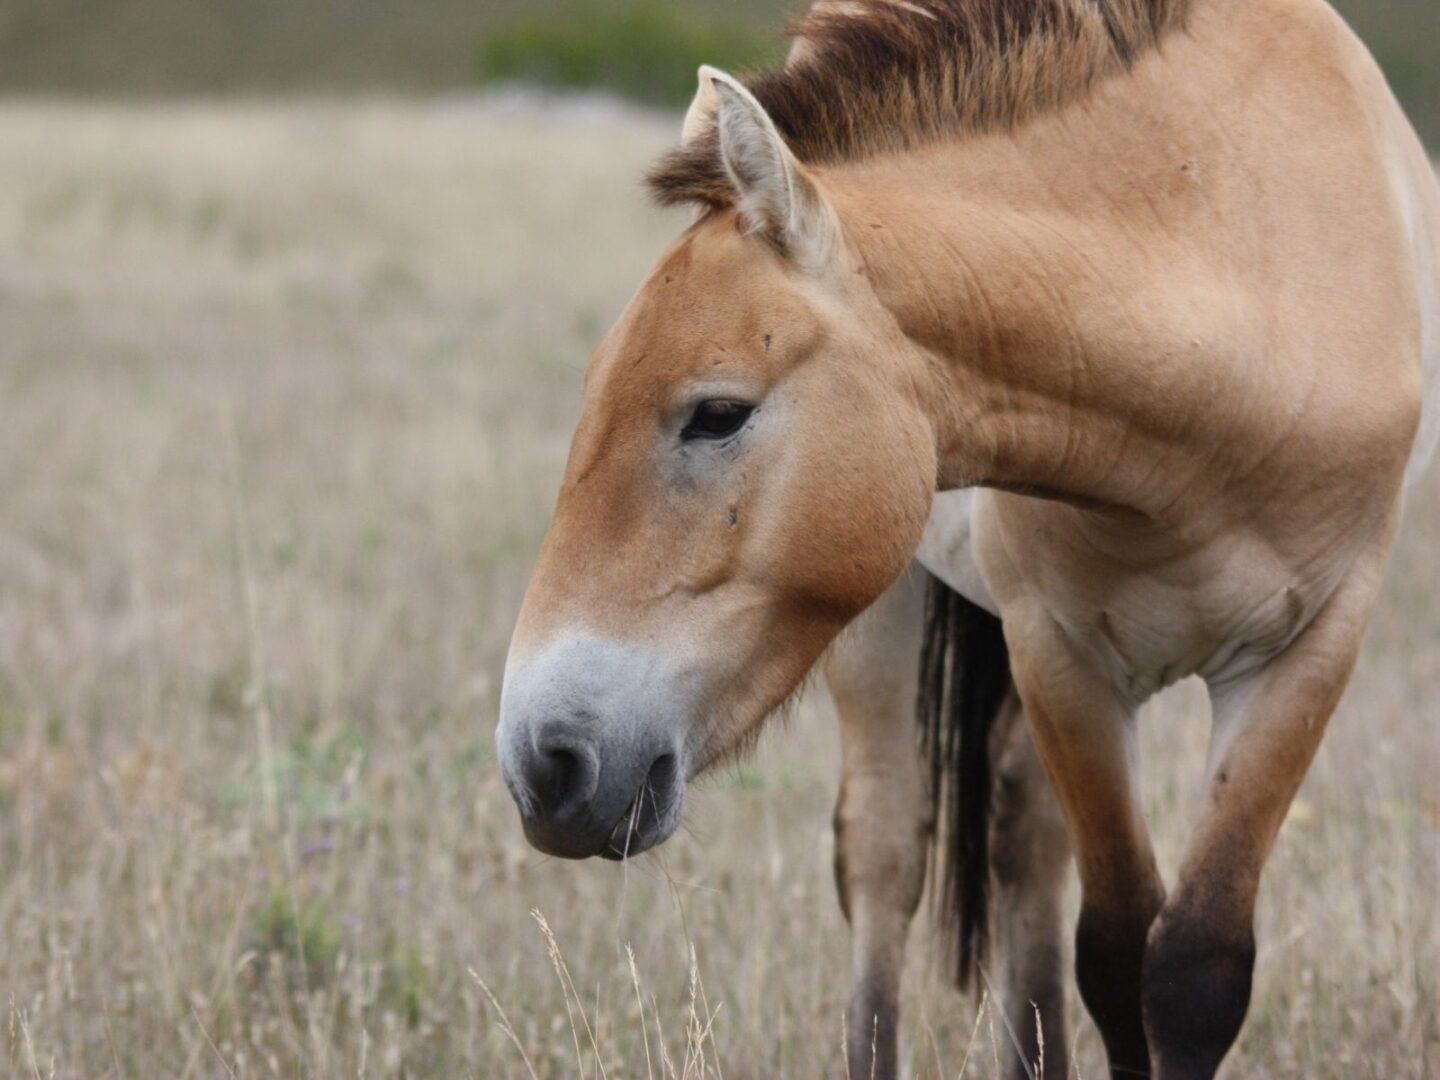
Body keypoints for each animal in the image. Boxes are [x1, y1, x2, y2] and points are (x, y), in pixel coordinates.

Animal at [495, 1, 1440, 1076]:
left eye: (717, 413)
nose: (544, 761)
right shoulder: (1059, 654)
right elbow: (1117, 952)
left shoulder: (1310, 651)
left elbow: (1196, 964)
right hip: (884, 625)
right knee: (885, 855)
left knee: (1023, 845)